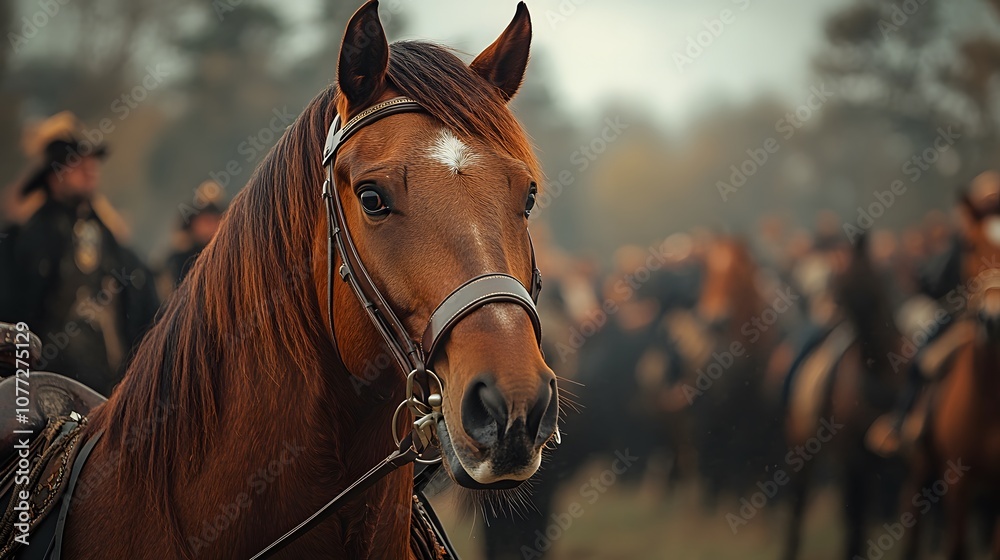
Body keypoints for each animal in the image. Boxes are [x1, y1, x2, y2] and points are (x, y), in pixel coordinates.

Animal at [782, 235, 905, 560]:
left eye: (861, 276)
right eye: (837, 283)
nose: (831, 311)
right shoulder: (853, 455)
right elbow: (854, 519)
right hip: (804, 448)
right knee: (800, 509)